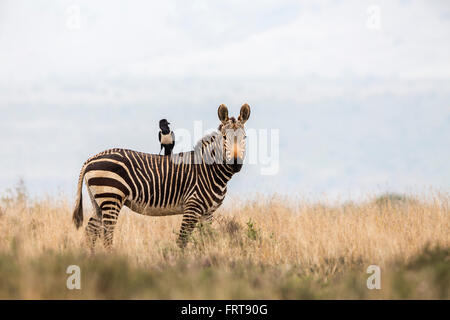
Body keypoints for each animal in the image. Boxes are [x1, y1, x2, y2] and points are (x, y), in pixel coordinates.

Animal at [72, 102, 251, 248]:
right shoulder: (192, 207)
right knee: (107, 234)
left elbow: (206, 239)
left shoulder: (208, 213)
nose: (235, 164)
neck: (210, 170)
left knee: (91, 230)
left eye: (245, 137)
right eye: (225, 137)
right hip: (111, 197)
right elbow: (182, 240)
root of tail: (90, 159)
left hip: (99, 201)